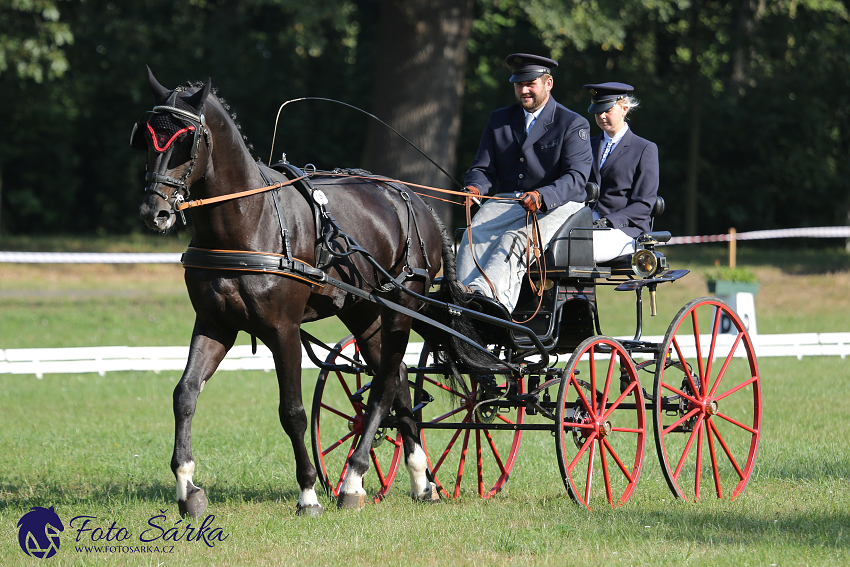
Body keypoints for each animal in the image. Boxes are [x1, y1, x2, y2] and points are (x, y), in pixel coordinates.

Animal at [133, 69, 468, 516]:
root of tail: (412, 197)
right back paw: (420, 479)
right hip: (364, 312)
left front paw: (308, 492)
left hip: (402, 306)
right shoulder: (214, 324)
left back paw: (353, 479)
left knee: (382, 388)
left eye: (187, 141)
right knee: (396, 377)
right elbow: (185, 394)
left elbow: (291, 411)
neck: (247, 222)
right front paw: (188, 488)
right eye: (146, 137)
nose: (154, 212)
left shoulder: (283, 329)